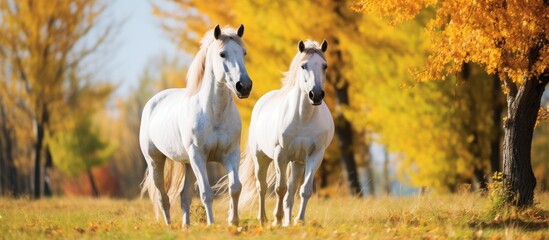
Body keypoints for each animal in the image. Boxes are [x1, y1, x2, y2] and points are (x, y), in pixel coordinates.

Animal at [141, 24, 253, 227]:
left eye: (244, 53)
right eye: (222, 54)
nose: (244, 86)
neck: (213, 114)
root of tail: (153, 102)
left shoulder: (230, 154)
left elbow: (235, 187)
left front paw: (233, 222)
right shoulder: (198, 156)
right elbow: (206, 193)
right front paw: (211, 224)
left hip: (188, 164)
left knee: (183, 196)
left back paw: (186, 226)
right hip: (156, 161)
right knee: (163, 197)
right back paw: (169, 226)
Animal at [238, 39, 332, 227]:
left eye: (324, 66)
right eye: (303, 65)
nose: (316, 94)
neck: (303, 118)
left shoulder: (315, 156)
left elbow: (304, 190)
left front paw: (299, 220)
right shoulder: (280, 155)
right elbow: (280, 189)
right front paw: (277, 219)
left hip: (297, 162)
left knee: (292, 188)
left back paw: (288, 221)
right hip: (262, 158)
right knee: (262, 187)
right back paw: (263, 219)